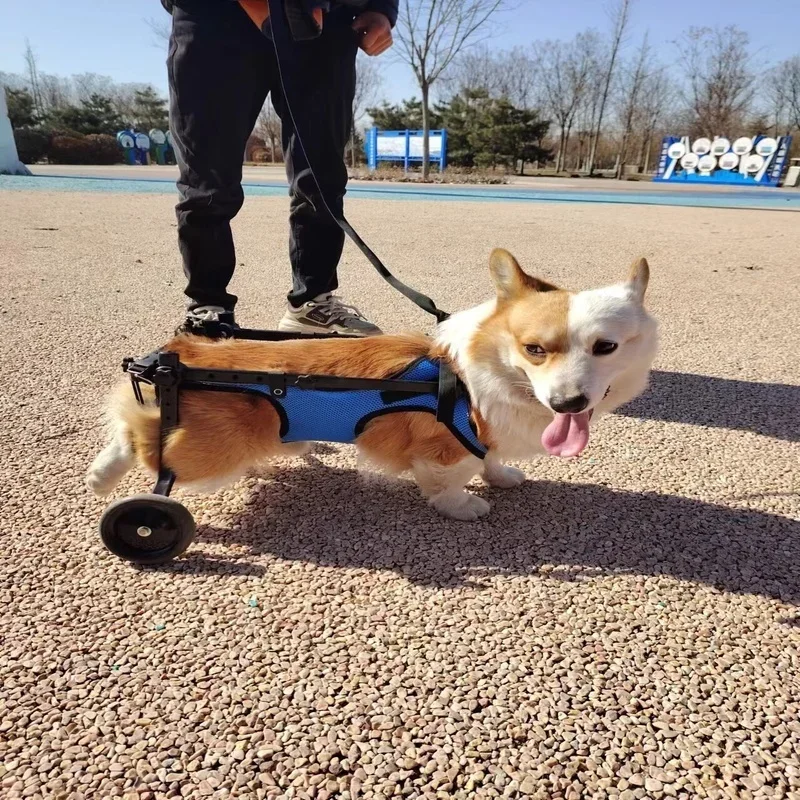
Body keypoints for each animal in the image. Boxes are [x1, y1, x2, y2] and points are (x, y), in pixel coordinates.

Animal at [87, 253, 660, 520]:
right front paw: (463, 506)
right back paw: (103, 478)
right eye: (535, 349)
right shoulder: (445, 449)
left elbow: (492, 460)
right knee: (141, 439)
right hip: (210, 452)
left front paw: (502, 476)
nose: (568, 402)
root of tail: (174, 358)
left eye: (606, 347)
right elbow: (449, 480)